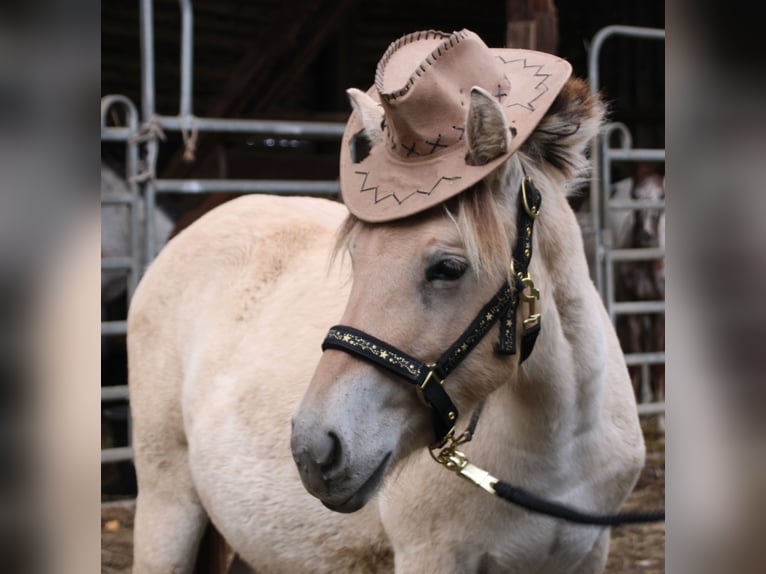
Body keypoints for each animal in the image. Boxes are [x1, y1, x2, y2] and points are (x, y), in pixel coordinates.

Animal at [129, 38, 644, 572]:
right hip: (168, 510)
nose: (314, 450)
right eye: (356, 257)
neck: (559, 449)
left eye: (448, 268)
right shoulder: (430, 555)